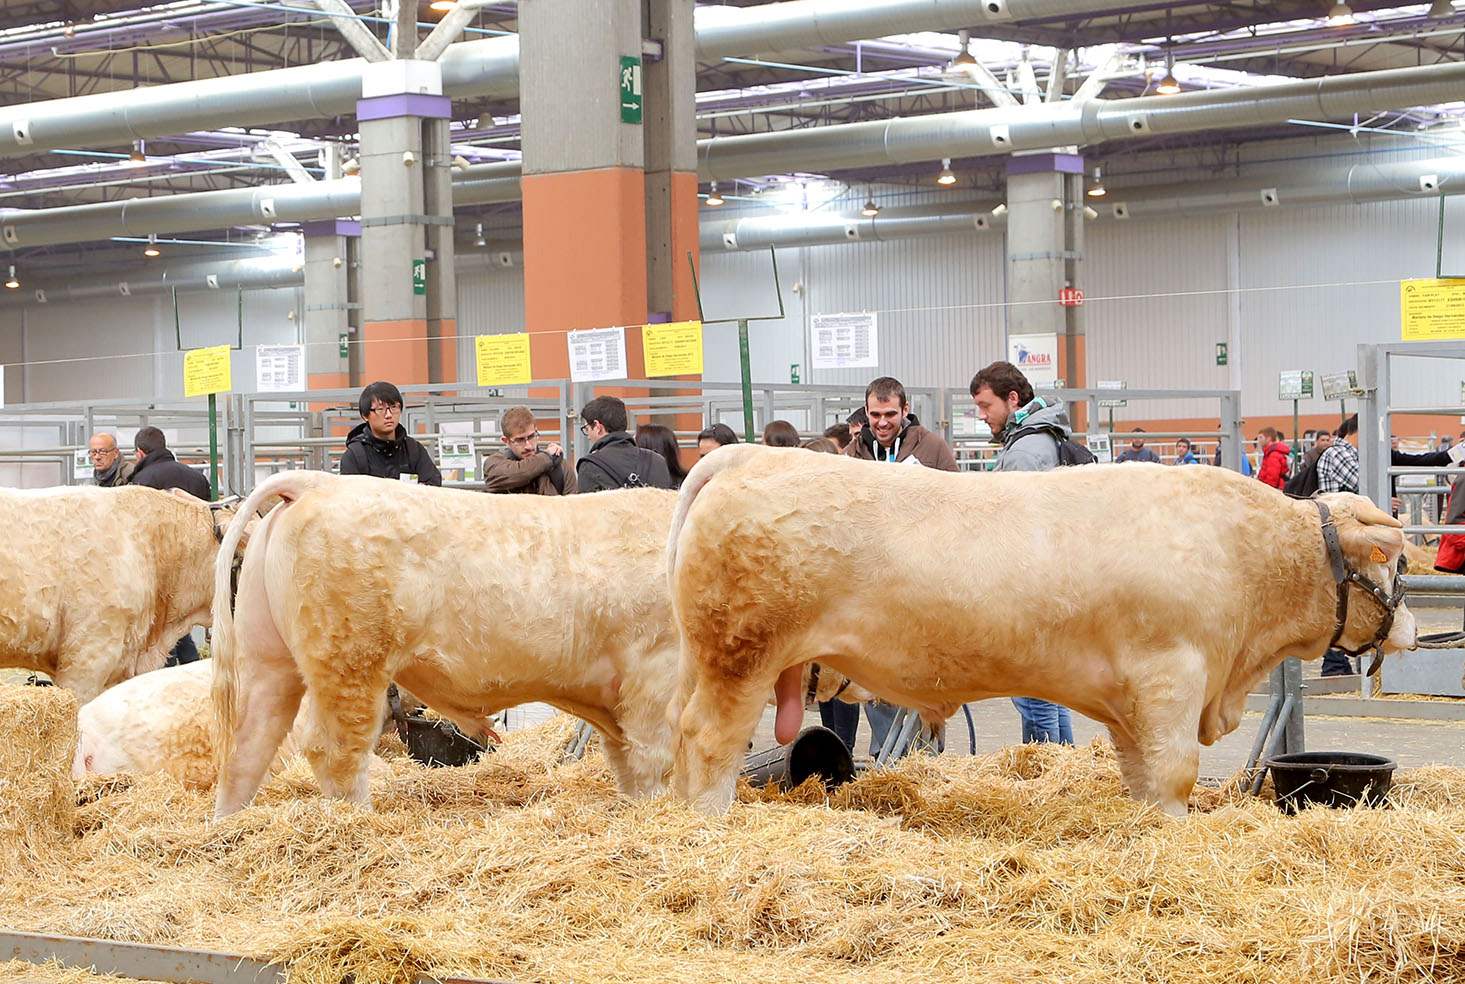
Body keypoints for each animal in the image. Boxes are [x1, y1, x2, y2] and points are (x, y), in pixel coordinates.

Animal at [212, 468, 679, 814]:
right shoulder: (654, 672)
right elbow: (652, 758)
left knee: (246, 750)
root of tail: (317, 481)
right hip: (349, 663)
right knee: (335, 751)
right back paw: (358, 822)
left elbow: (626, 759)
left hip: (268, 660)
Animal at [668, 445, 1418, 814]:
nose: (1411, 628)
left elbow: (1142, 776)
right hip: (740, 658)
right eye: (1393, 560)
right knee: (710, 742)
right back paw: (709, 825)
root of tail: (747, 457)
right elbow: (1175, 774)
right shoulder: (1172, 674)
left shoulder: (1130, 700)